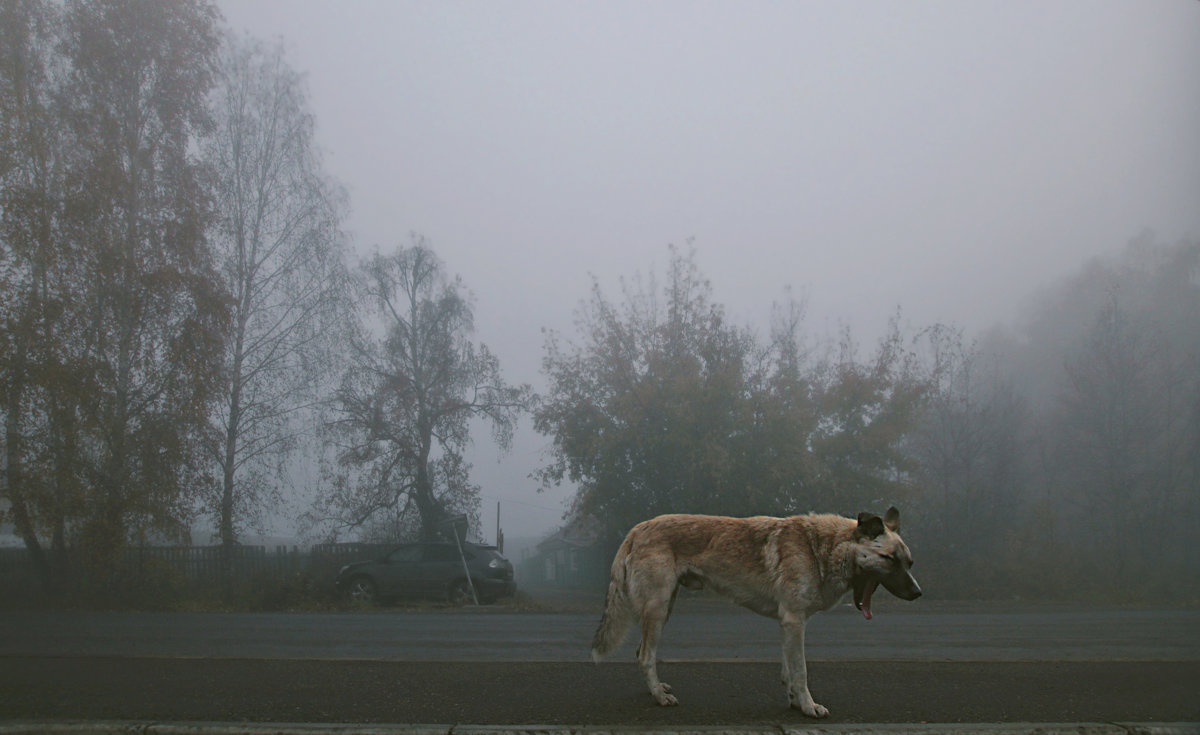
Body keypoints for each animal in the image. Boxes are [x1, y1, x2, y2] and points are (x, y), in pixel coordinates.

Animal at [588, 504, 916, 715]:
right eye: (889, 559)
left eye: (908, 562)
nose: (918, 592)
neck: (821, 548)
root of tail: (635, 531)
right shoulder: (795, 622)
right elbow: (801, 671)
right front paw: (809, 707)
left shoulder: (788, 623)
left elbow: (788, 670)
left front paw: (795, 702)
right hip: (657, 611)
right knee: (645, 655)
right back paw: (659, 698)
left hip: (664, 608)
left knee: (641, 654)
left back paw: (657, 690)